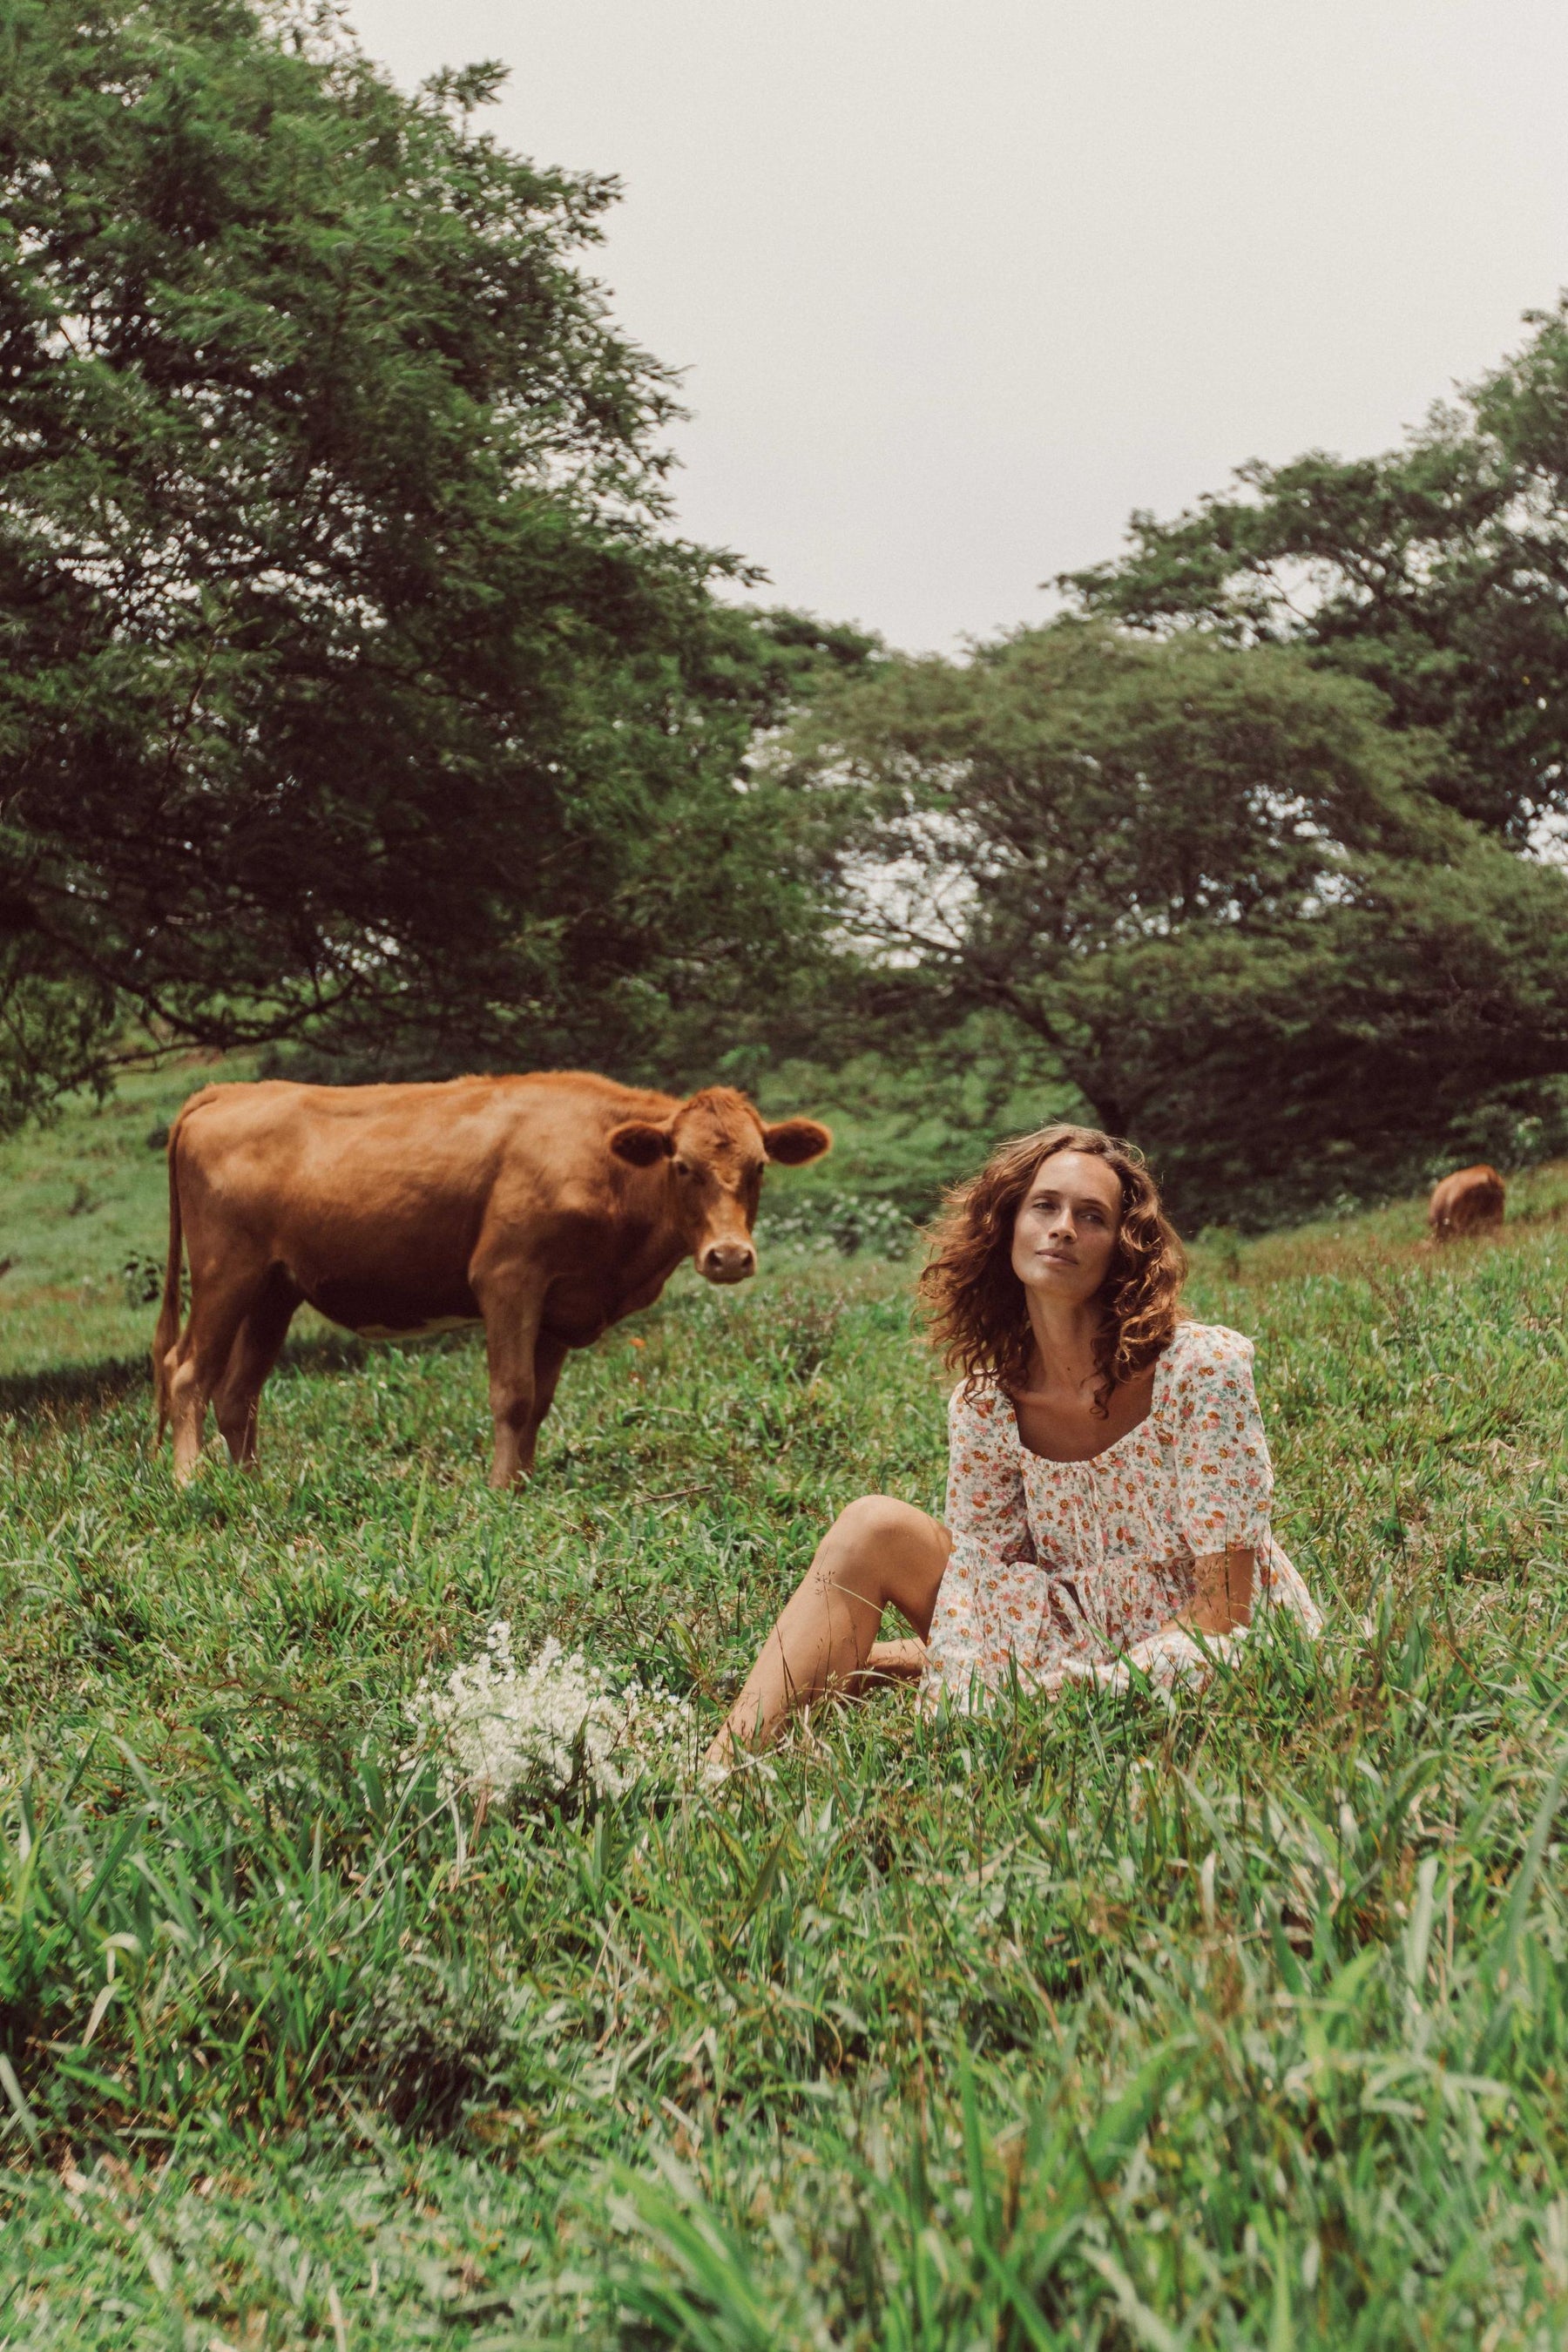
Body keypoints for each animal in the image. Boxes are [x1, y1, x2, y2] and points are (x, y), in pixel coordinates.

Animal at [148, 1072, 832, 1477]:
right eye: (683, 1166)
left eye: (760, 1166)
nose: (729, 1256)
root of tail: (233, 1089)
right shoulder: (508, 1278)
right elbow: (513, 1394)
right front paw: (503, 1490)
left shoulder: (562, 1306)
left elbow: (540, 1404)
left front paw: (526, 1484)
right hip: (226, 1272)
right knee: (187, 1372)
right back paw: (191, 1483)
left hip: (274, 1287)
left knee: (238, 1393)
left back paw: (250, 1486)